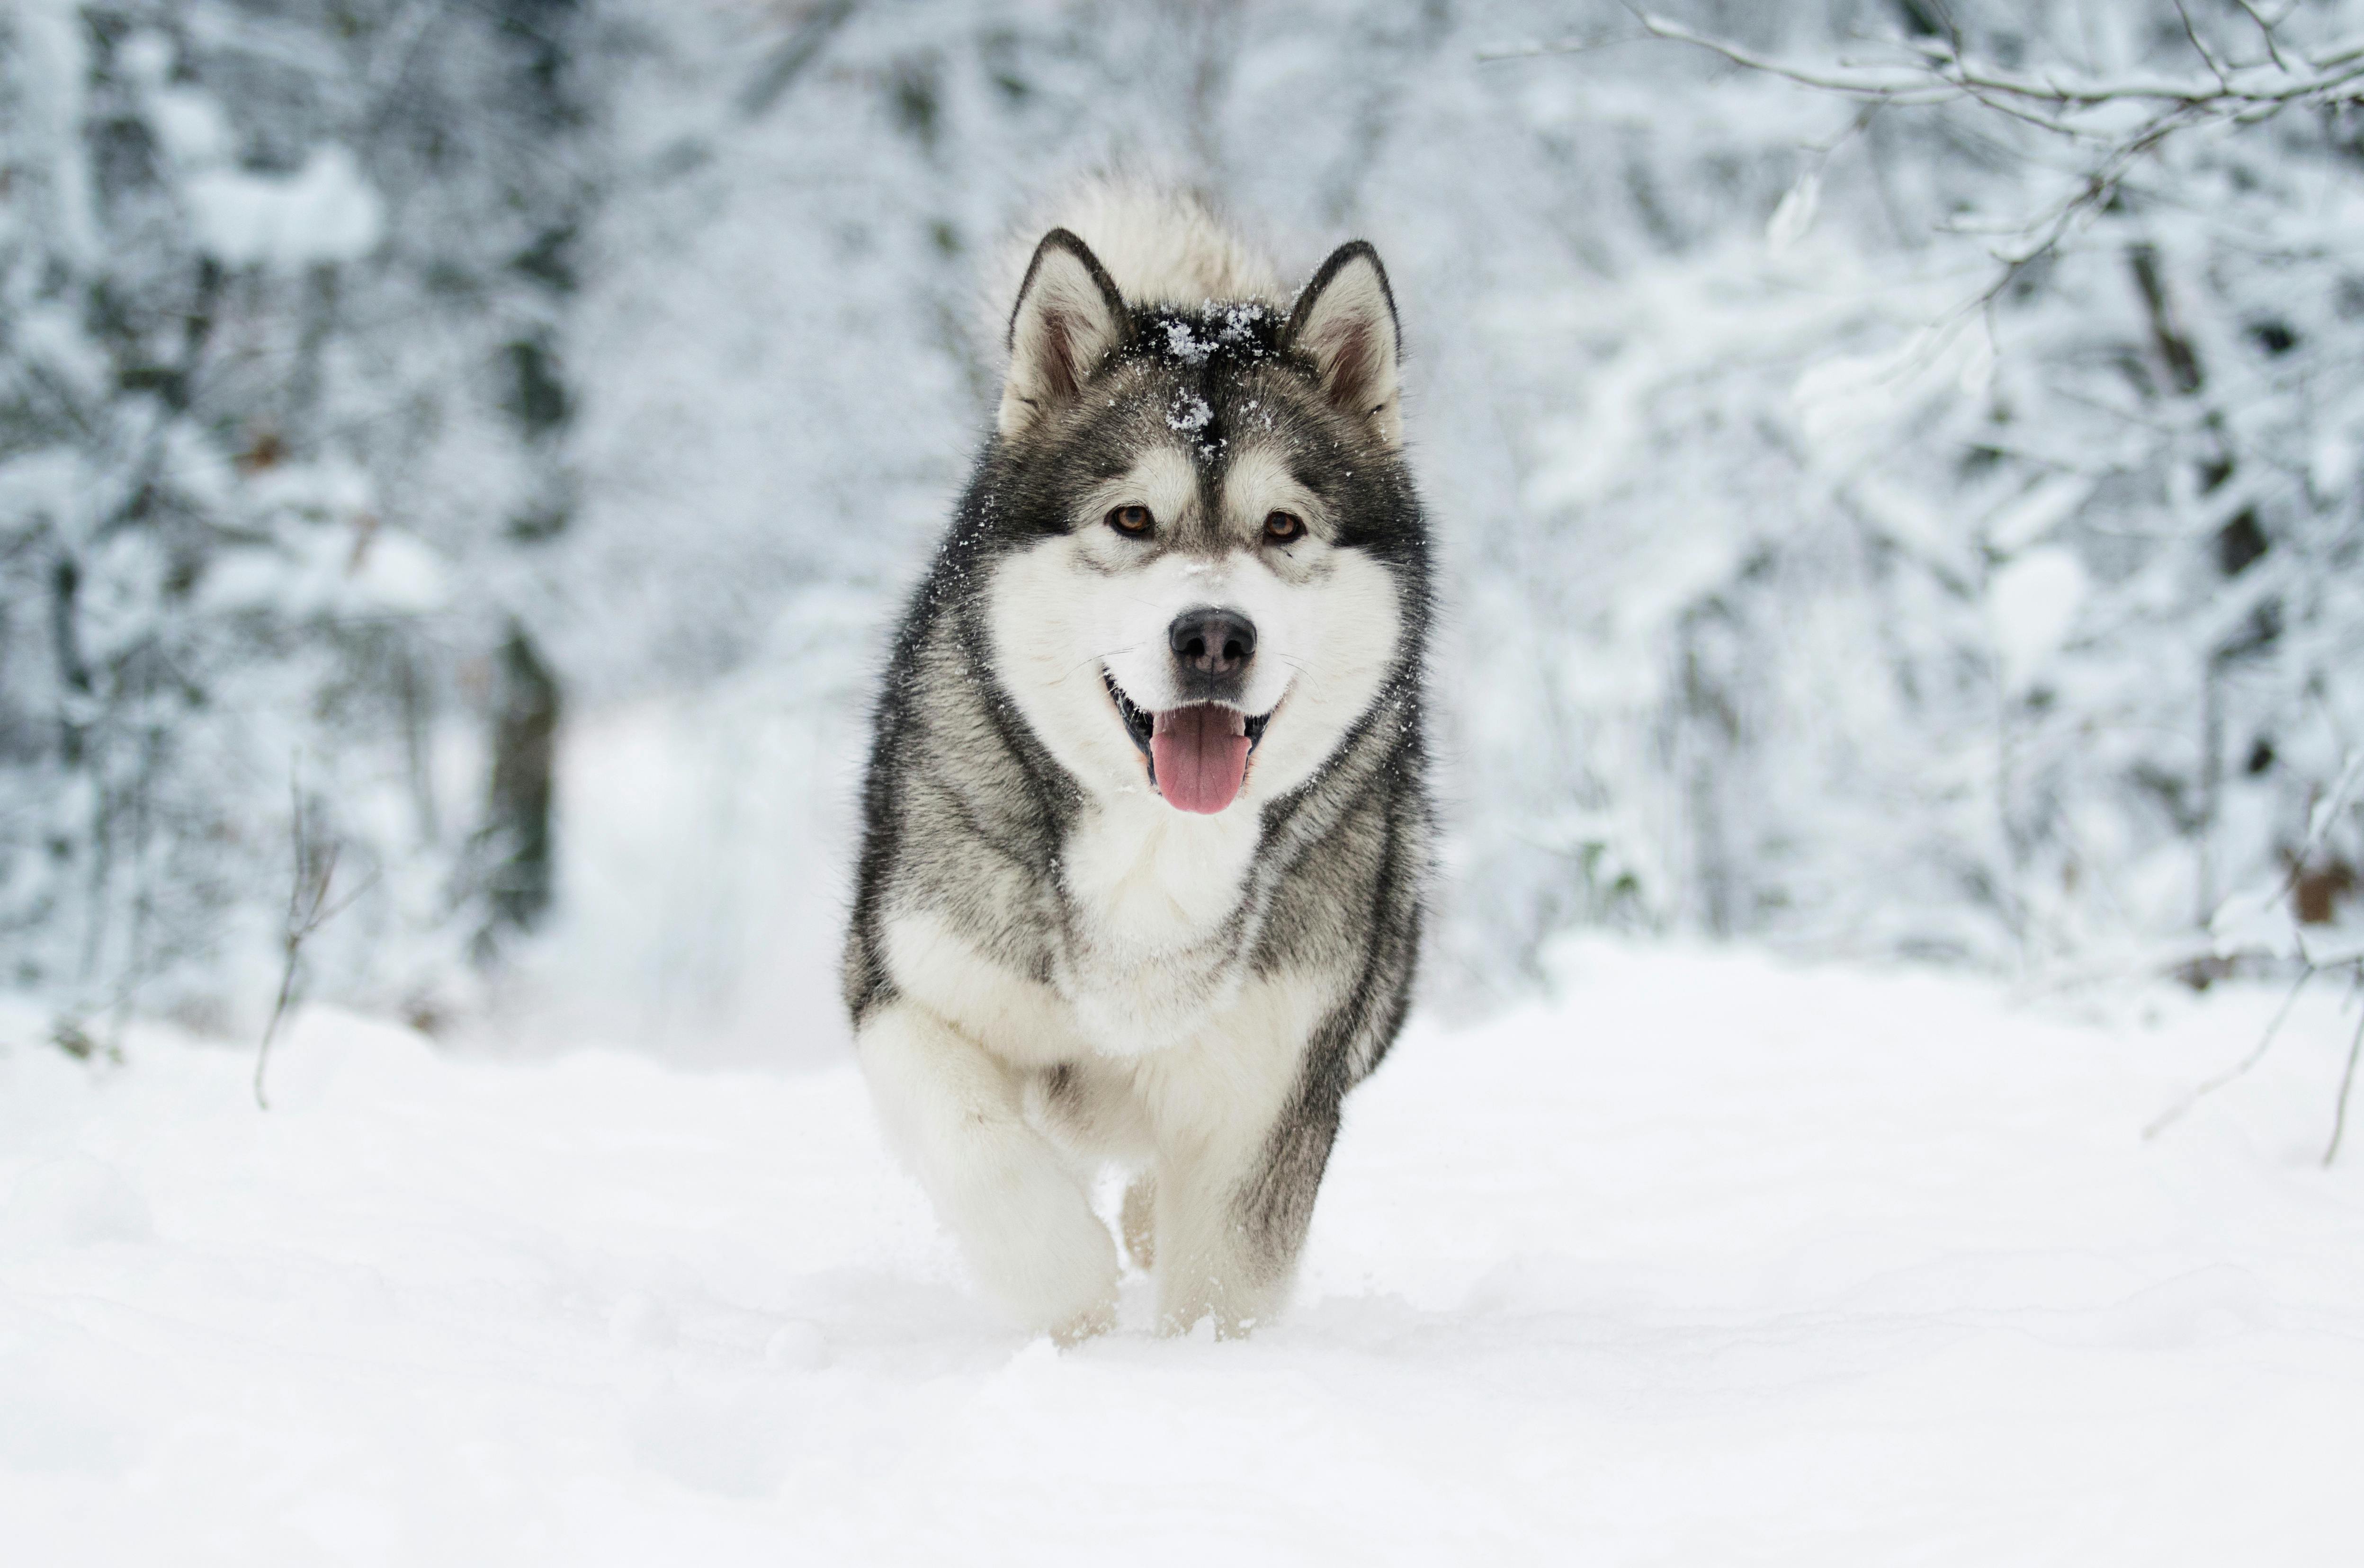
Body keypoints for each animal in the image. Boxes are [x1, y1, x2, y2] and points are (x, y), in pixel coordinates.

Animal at [851, 181, 1437, 1334]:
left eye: (1283, 526)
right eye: (1131, 518)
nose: (1212, 636)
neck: (1157, 850)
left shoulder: (1272, 1085)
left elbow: (1227, 1276)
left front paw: (1193, 1364)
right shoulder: (905, 981)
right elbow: (979, 1145)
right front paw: (1066, 1293)